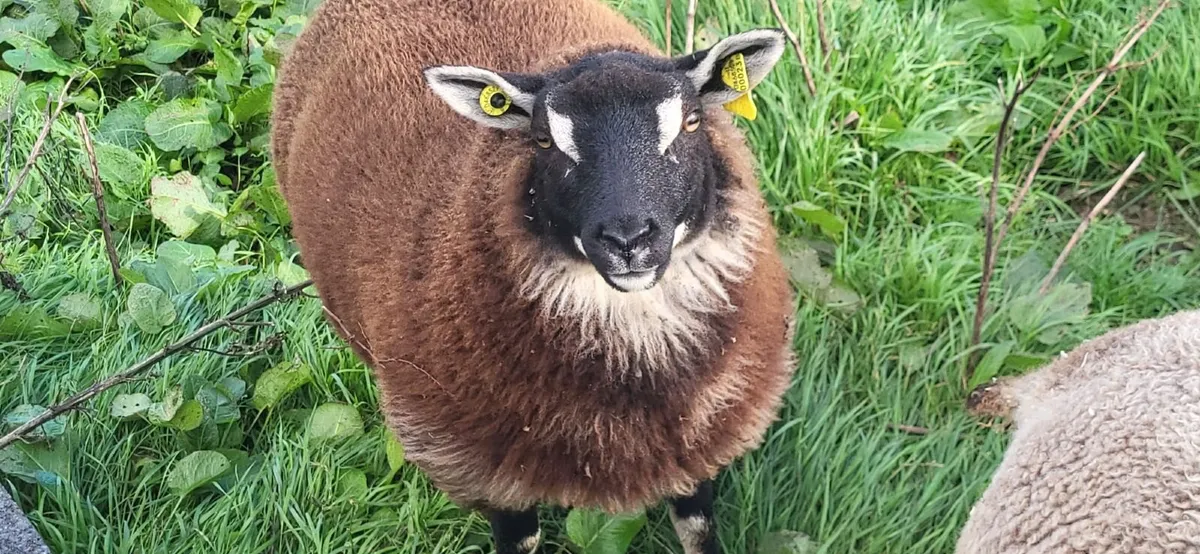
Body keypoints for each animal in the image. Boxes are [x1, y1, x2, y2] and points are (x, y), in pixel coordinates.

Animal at [269, 0, 797, 552]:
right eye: (543, 139)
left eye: (692, 121)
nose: (628, 239)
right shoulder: (487, 472)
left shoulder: (697, 447)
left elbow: (698, 529)